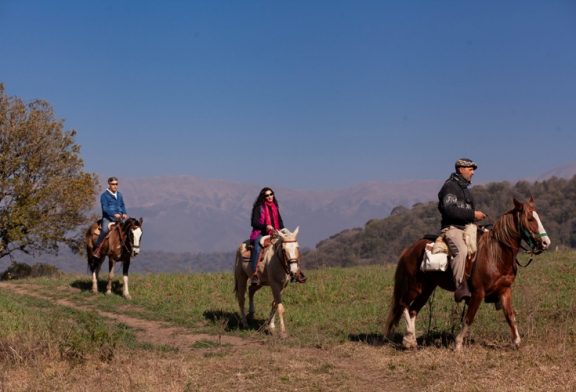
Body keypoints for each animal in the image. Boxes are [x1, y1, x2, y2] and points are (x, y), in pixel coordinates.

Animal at [384, 198, 552, 350]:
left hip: (427, 289)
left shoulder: (505, 290)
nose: (546, 243)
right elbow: (469, 318)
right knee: (404, 304)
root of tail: (408, 250)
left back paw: (411, 341)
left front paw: (516, 342)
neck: (495, 254)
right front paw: (458, 344)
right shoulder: (478, 293)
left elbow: (510, 316)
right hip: (414, 286)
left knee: (413, 310)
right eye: (530, 218)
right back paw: (409, 338)